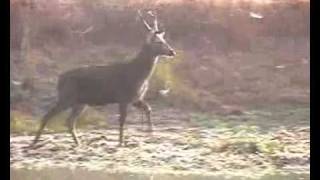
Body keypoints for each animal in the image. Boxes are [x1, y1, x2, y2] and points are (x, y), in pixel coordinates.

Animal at [31, 9, 176, 147]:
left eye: (165, 41)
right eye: (158, 42)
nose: (172, 51)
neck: (138, 75)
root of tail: (59, 79)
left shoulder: (135, 98)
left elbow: (148, 109)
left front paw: (151, 133)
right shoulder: (123, 96)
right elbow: (122, 120)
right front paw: (121, 142)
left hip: (80, 102)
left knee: (69, 121)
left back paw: (78, 143)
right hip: (67, 96)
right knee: (48, 115)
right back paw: (35, 142)